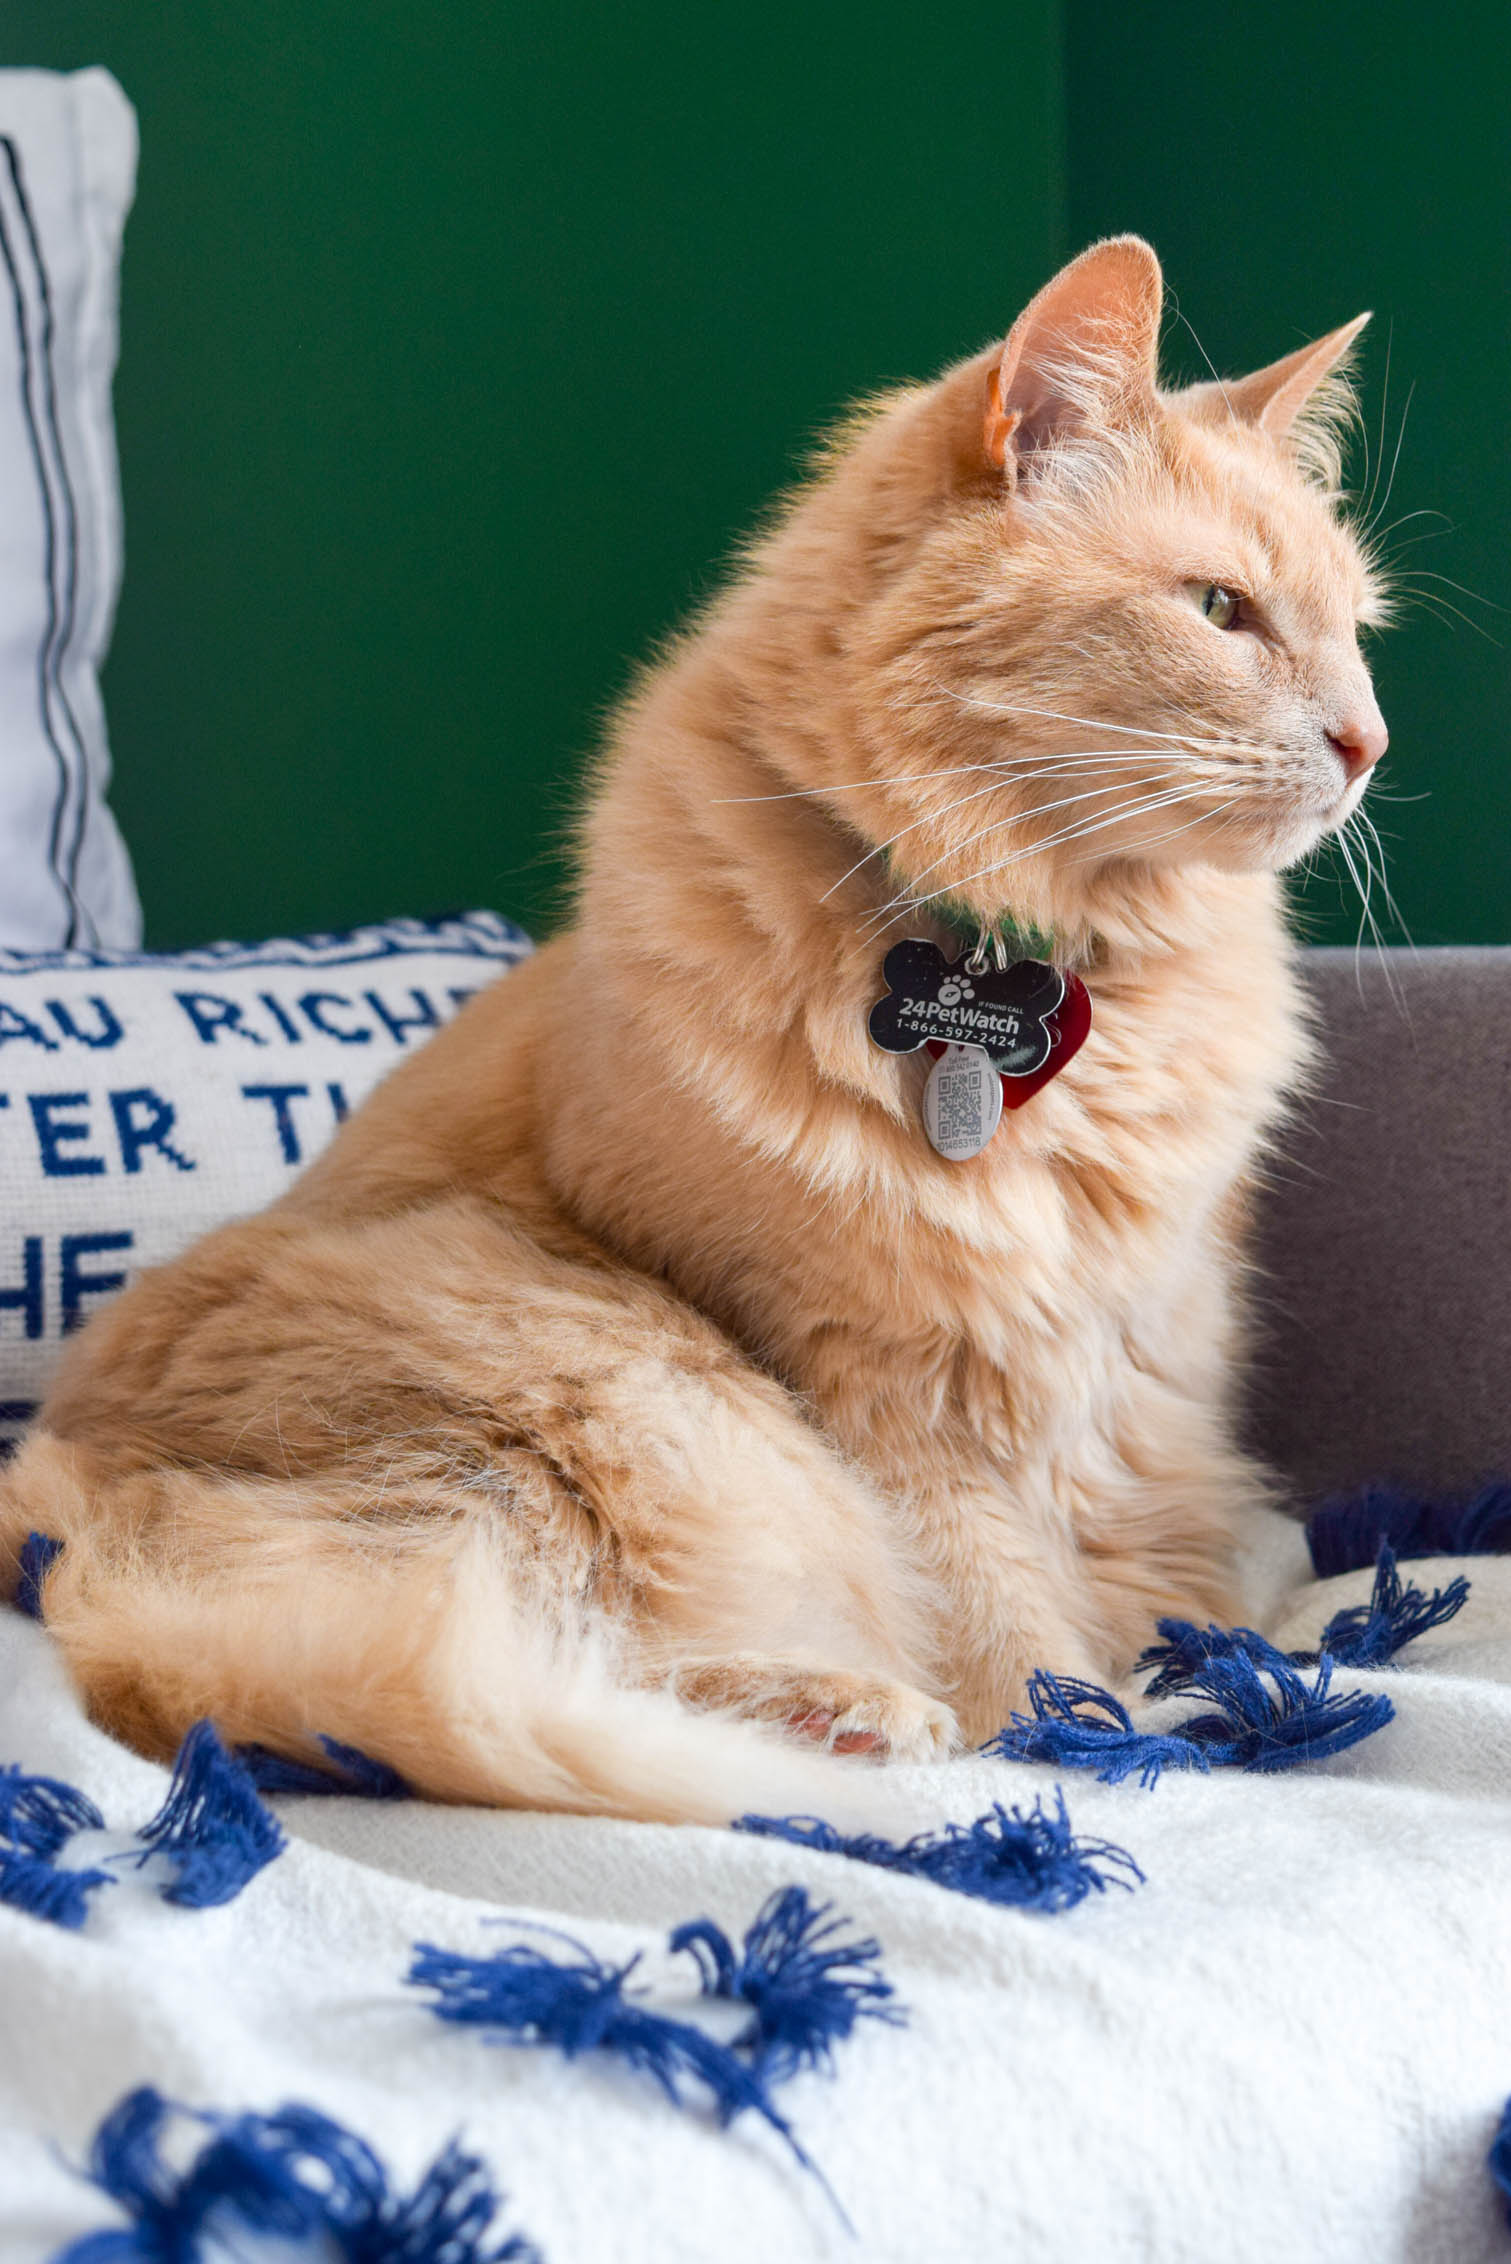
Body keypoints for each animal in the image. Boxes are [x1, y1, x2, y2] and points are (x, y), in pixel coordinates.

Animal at [2, 238, 1395, 1820]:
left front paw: (1214, 1651)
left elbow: (1194, 1561)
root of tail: (57, 1534)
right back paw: (842, 1718)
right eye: (1219, 612)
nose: (1367, 742)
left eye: (1356, 633)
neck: (1037, 959)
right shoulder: (876, 1385)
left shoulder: (1142, 1374)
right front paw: (1091, 1734)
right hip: (622, 1395)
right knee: (514, 1645)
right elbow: (1011, 1630)